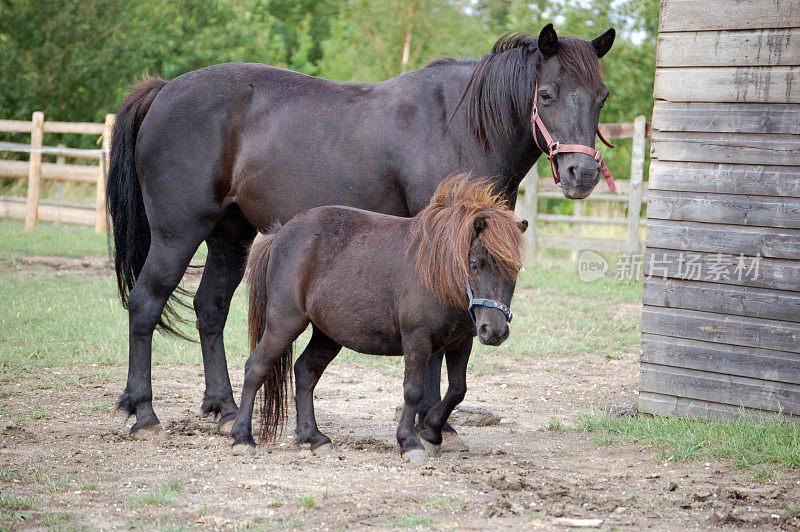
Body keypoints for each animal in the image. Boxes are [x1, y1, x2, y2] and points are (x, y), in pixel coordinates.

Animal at [230, 176, 532, 462]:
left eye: (515, 269)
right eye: (475, 265)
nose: (494, 331)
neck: (437, 273)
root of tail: (280, 234)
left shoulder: (460, 342)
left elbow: (458, 389)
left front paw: (431, 434)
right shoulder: (416, 339)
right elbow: (413, 390)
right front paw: (409, 443)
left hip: (327, 335)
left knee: (305, 372)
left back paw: (315, 438)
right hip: (284, 322)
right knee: (256, 367)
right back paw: (242, 437)